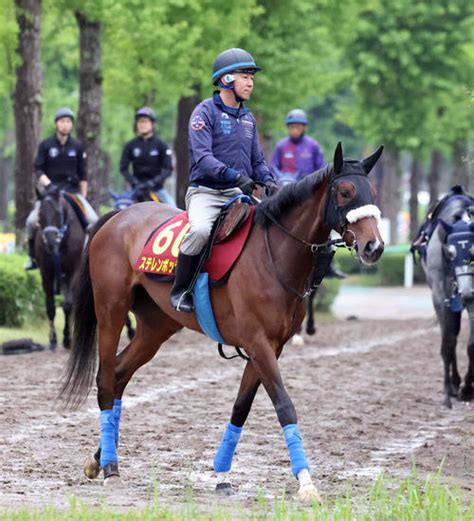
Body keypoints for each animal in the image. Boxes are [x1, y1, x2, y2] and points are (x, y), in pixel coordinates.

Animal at [35, 186, 88, 350]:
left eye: (58, 213)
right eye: (40, 214)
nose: (50, 238)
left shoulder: (73, 271)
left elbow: (68, 305)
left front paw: (67, 338)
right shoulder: (46, 272)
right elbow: (50, 306)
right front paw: (53, 339)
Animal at [60, 142, 386, 500]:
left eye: (372, 192)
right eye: (345, 191)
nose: (374, 246)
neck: (273, 253)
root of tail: (118, 216)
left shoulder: (270, 347)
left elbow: (241, 408)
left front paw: (223, 474)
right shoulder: (258, 344)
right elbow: (284, 405)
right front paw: (305, 481)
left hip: (156, 328)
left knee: (119, 375)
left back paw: (100, 458)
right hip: (111, 311)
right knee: (106, 379)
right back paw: (110, 468)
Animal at [414, 189, 474, 408]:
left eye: (473, 251)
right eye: (450, 252)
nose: (466, 292)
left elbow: (471, 345)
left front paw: (468, 388)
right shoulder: (441, 297)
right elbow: (448, 342)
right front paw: (448, 392)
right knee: (450, 335)